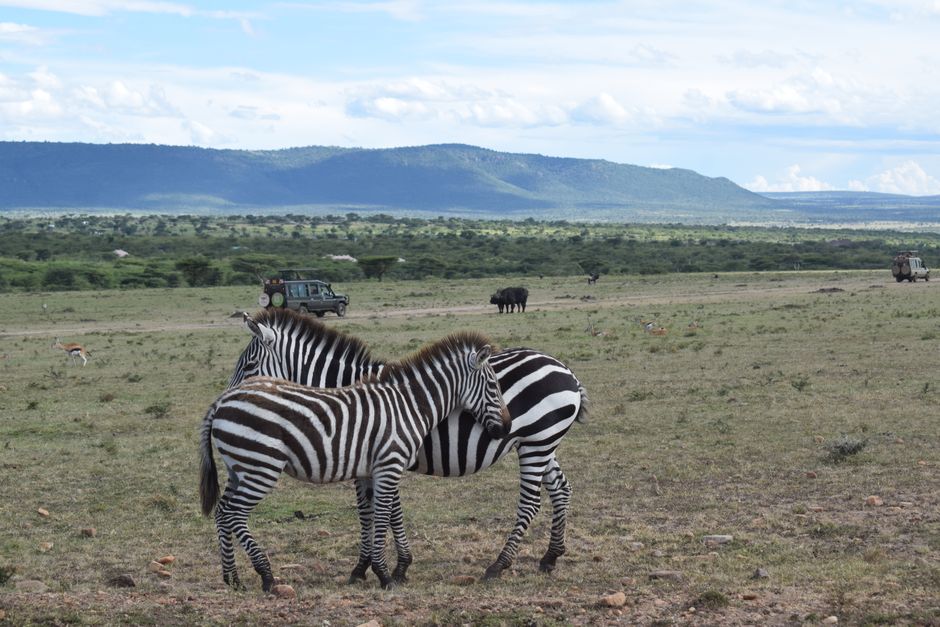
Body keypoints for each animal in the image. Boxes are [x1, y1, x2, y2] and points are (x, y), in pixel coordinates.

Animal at [200, 331, 510, 592]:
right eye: (493, 386)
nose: (506, 428)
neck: (408, 404)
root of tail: (222, 401)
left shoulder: (371, 470)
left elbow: (375, 515)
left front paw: (373, 568)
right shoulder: (389, 464)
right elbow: (382, 514)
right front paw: (385, 575)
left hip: (240, 467)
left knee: (222, 511)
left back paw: (232, 578)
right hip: (259, 467)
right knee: (233, 513)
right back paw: (265, 575)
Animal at [230, 308, 588, 582]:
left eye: (248, 366)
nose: (232, 400)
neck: (345, 391)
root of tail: (566, 370)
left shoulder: (382, 455)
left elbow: (386, 511)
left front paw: (393, 567)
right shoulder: (370, 461)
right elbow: (370, 511)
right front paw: (365, 567)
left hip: (536, 443)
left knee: (530, 502)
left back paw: (499, 564)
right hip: (543, 443)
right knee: (561, 490)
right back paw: (550, 557)